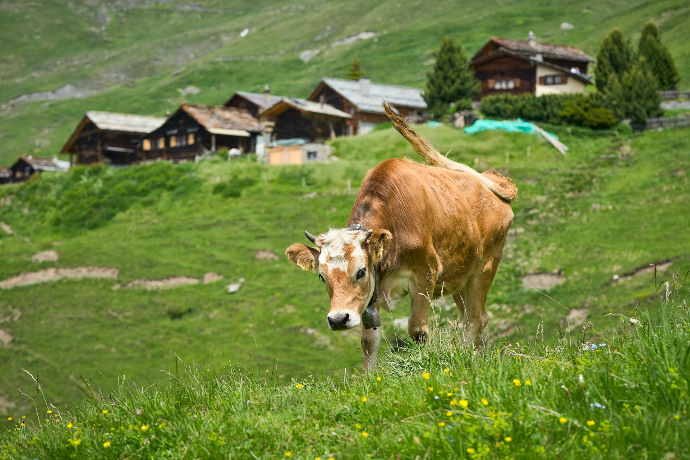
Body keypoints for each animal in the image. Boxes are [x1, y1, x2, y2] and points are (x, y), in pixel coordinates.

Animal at [286, 102, 517, 370]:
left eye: (360, 271)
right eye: (322, 277)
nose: (338, 319)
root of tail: (489, 179)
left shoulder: (425, 275)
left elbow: (418, 331)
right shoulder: (372, 295)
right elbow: (369, 342)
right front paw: (368, 376)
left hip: (485, 268)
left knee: (473, 321)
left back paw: (466, 357)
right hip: (461, 277)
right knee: (480, 317)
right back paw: (481, 359)